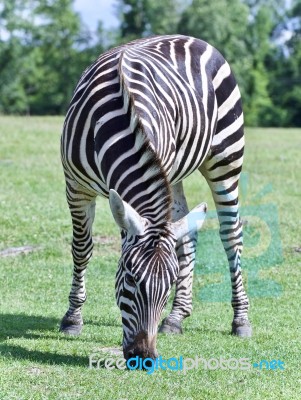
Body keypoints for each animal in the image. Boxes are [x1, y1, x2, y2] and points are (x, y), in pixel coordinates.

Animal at [59, 33, 251, 360]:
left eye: (169, 284)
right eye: (130, 279)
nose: (144, 357)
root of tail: (191, 38)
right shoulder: (76, 186)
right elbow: (82, 249)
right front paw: (72, 318)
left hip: (226, 158)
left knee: (231, 234)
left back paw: (240, 320)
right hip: (175, 175)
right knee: (187, 233)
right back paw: (175, 318)